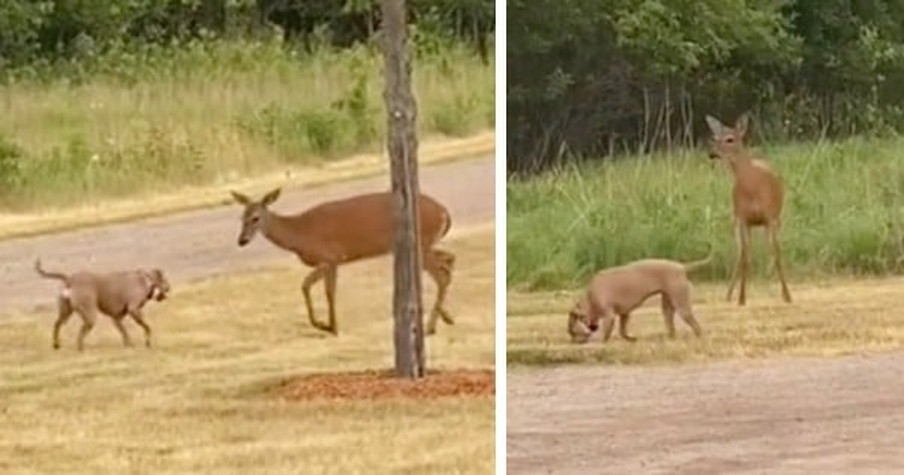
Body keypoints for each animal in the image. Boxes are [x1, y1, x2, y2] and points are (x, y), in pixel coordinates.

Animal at [35, 258, 171, 352]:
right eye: (165, 280)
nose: (169, 287)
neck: (146, 279)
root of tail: (70, 279)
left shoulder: (117, 318)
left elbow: (124, 332)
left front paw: (128, 344)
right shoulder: (134, 310)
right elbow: (147, 327)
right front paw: (147, 342)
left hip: (66, 311)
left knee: (57, 324)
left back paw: (56, 344)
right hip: (89, 315)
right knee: (81, 333)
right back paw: (80, 348)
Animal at [230, 188, 456, 336]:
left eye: (256, 218)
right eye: (241, 217)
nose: (241, 241)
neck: (299, 234)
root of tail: (444, 211)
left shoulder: (331, 257)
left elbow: (320, 290)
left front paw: (330, 327)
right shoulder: (331, 262)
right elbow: (315, 288)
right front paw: (327, 325)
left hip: (419, 244)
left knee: (442, 274)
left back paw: (430, 327)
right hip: (423, 246)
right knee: (448, 261)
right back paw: (445, 317)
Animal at [564, 255, 712, 344]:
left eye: (572, 332)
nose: (572, 341)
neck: (590, 299)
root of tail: (681, 266)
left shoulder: (609, 315)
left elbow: (606, 330)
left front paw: (599, 339)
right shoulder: (624, 314)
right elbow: (622, 331)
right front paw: (630, 338)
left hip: (681, 305)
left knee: (695, 325)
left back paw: (699, 337)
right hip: (667, 305)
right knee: (670, 322)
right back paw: (670, 338)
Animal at [708, 112, 792, 304]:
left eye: (730, 139)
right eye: (715, 137)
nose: (712, 154)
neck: (752, 185)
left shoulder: (769, 217)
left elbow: (777, 253)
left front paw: (787, 295)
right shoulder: (743, 219)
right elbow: (745, 257)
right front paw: (741, 298)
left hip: (775, 220)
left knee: (771, 250)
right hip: (738, 222)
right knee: (742, 254)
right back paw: (729, 294)